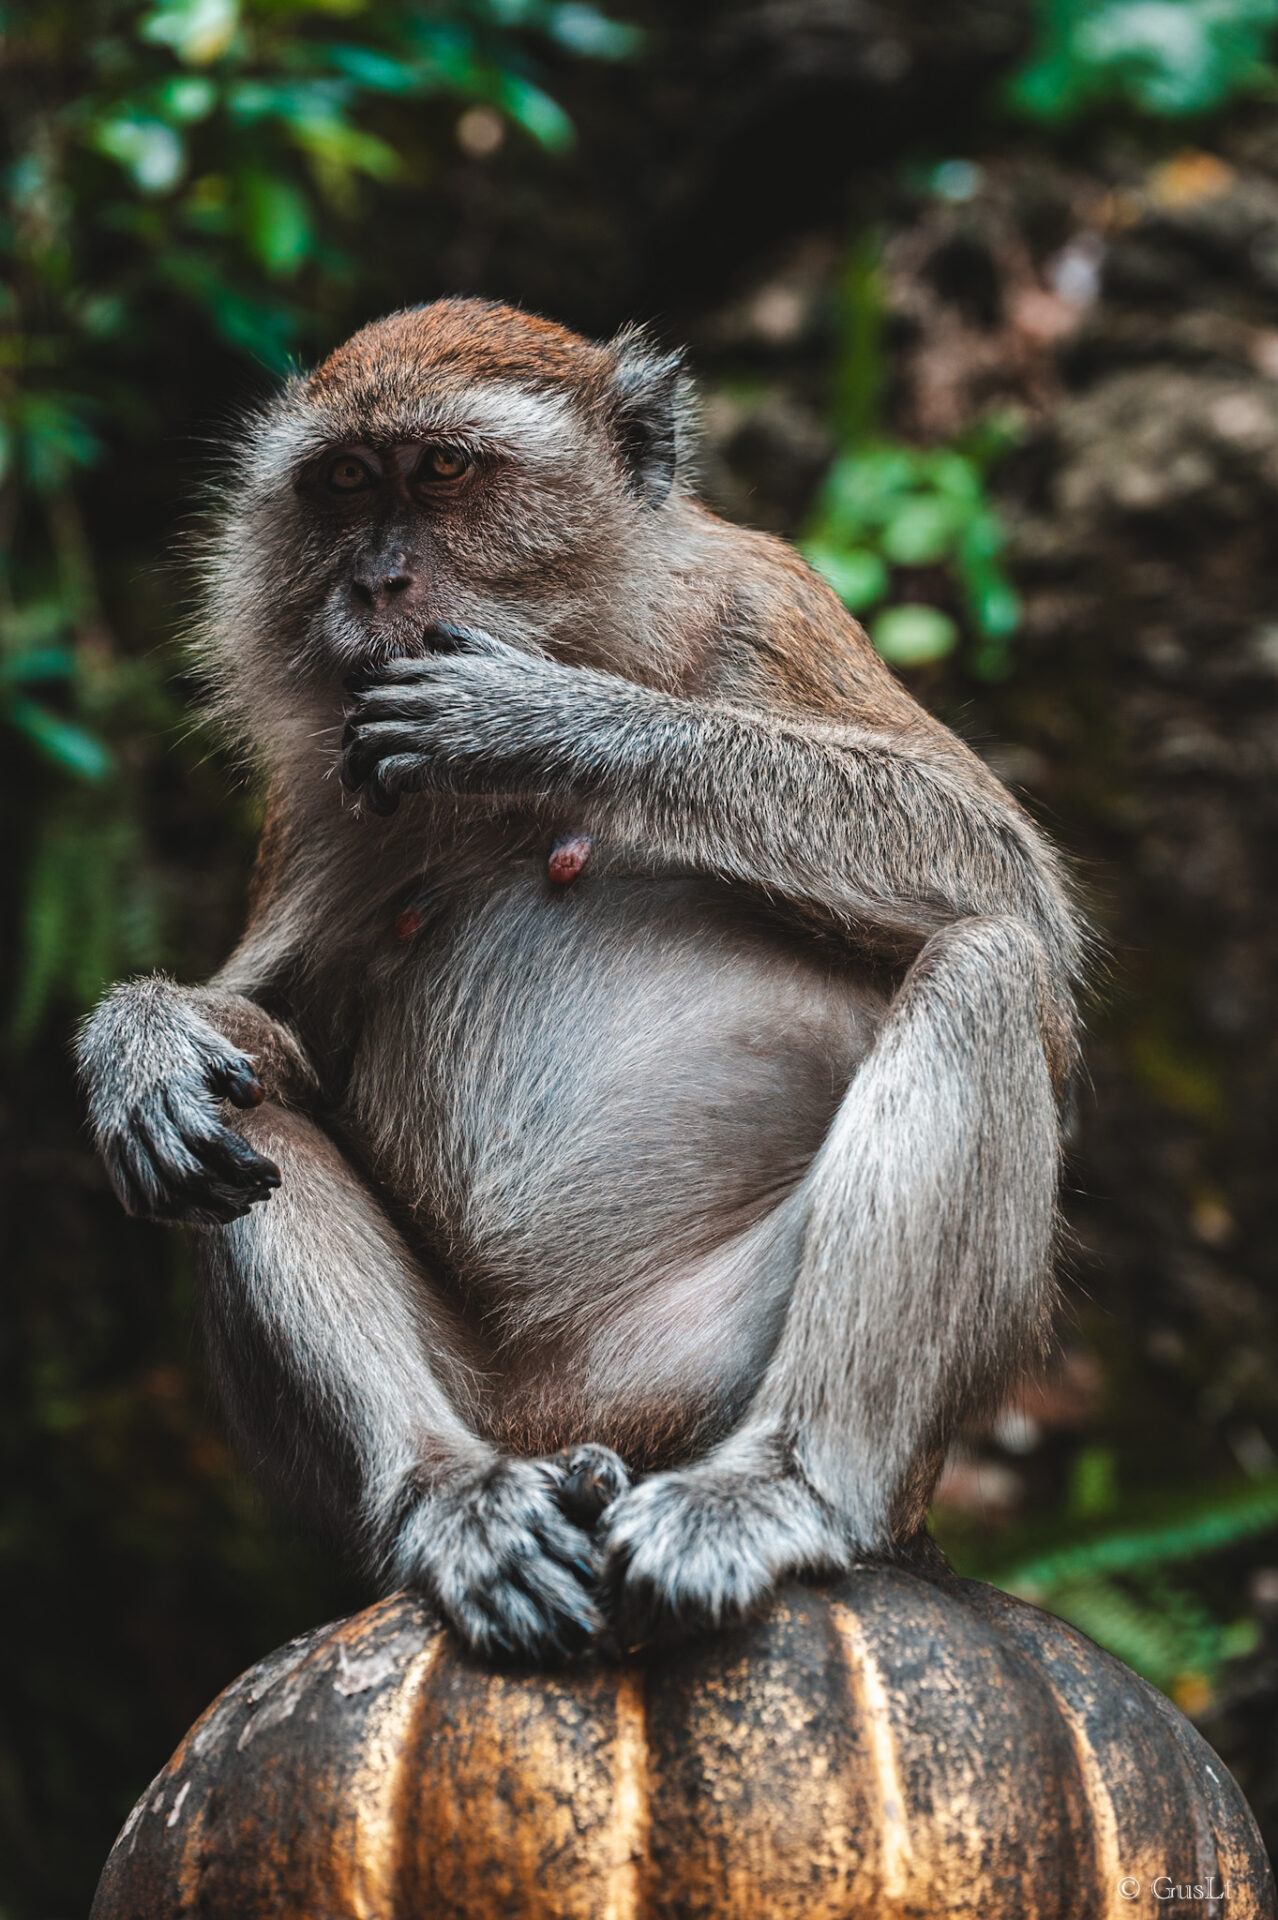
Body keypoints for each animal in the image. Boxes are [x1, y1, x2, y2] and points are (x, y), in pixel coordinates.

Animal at [74, 299, 1082, 1666]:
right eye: (344, 483)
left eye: (445, 470)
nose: (374, 580)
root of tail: (573, 1423)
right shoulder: (322, 791)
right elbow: (275, 1033)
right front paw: (140, 1040)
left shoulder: (770, 612)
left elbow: (1004, 884)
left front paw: (536, 719)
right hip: (500, 1403)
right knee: (239, 1109)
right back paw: (457, 1495)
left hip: (692, 1378)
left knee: (983, 968)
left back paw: (778, 1489)